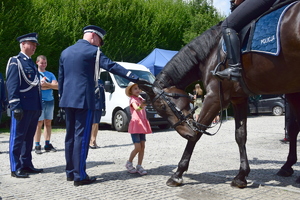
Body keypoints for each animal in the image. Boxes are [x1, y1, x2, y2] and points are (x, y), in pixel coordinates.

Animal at [140, 1, 300, 189]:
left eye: (163, 107)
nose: (185, 133)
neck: (210, 52)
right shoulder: (239, 98)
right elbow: (240, 135)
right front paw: (241, 176)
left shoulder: (214, 98)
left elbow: (198, 132)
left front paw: (177, 174)